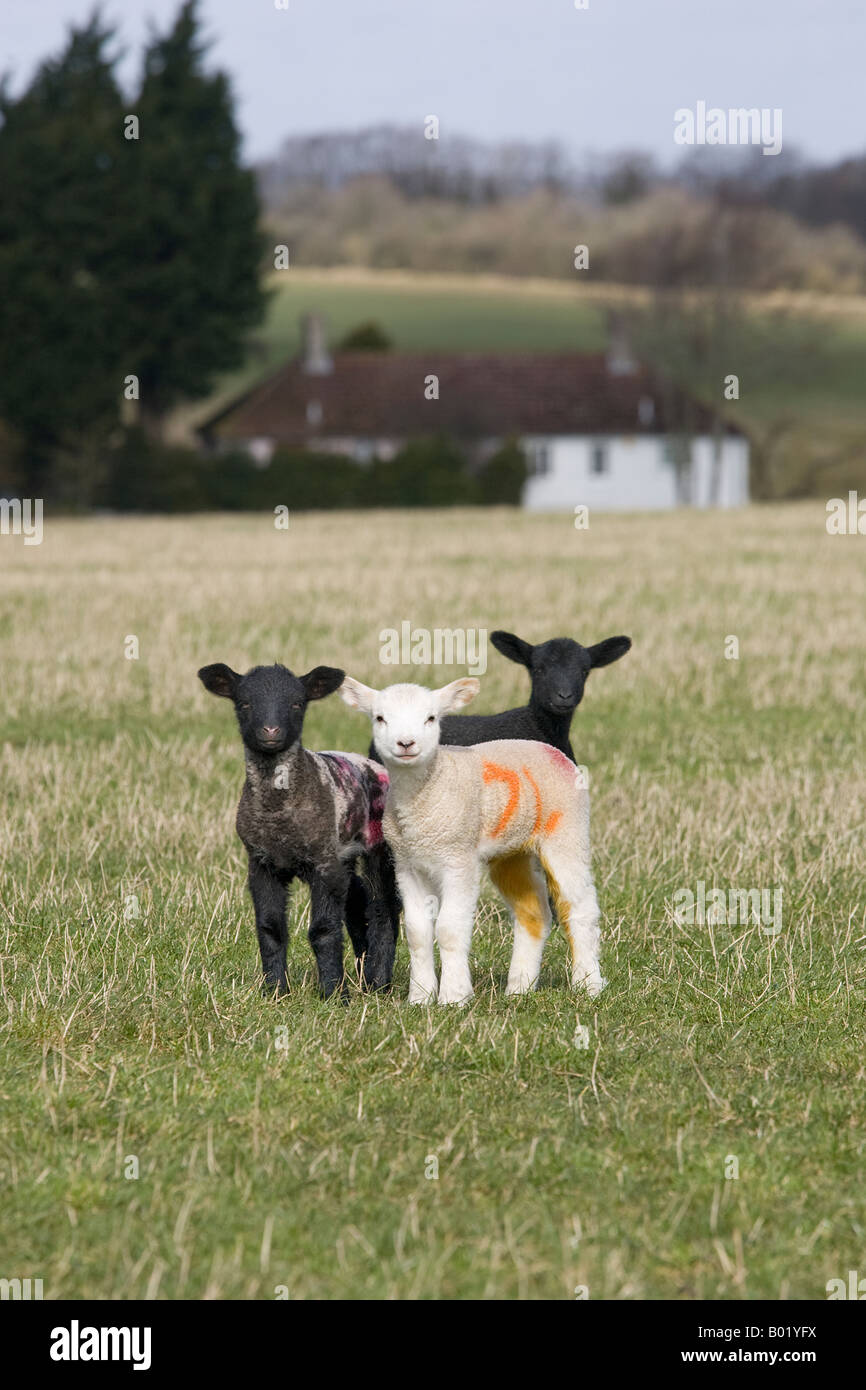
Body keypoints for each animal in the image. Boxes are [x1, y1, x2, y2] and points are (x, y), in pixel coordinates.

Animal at [198, 656, 397, 995]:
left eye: (296, 703)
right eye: (244, 703)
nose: (271, 730)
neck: (278, 815)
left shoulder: (324, 863)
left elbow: (324, 930)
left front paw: (333, 994)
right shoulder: (261, 863)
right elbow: (270, 927)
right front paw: (275, 991)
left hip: (378, 847)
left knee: (382, 908)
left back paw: (377, 982)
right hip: (344, 854)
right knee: (357, 900)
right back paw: (362, 972)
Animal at [335, 672, 606, 1000]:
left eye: (431, 718)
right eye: (380, 718)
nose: (406, 743)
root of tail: (550, 750)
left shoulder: (458, 859)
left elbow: (449, 928)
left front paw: (454, 996)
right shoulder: (408, 864)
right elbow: (417, 931)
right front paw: (420, 997)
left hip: (567, 831)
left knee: (580, 907)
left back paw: (588, 985)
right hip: (511, 851)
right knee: (533, 911)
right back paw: (519, 988)